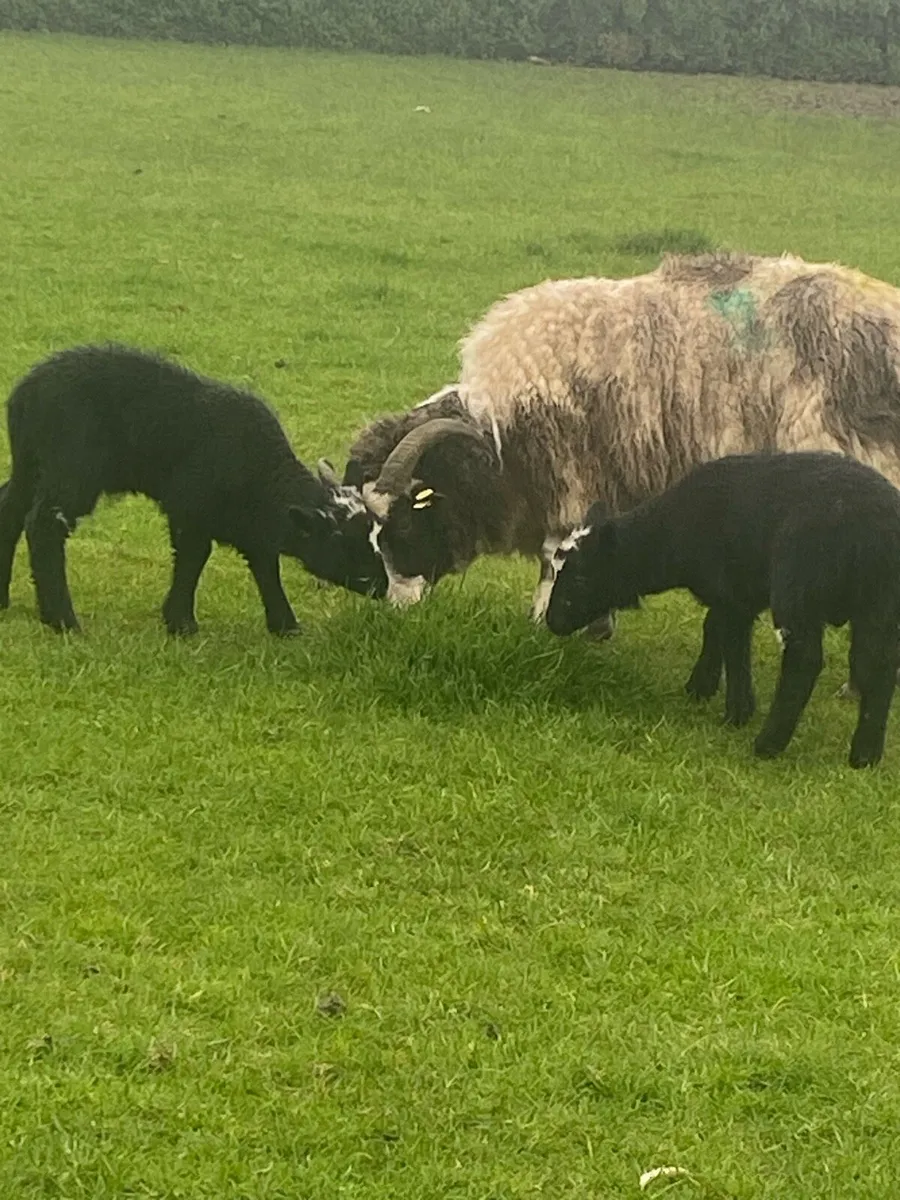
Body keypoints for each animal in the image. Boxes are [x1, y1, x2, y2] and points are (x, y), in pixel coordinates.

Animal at [0, 344, 387, 634]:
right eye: (341, 541)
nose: (381, 586)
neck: (263, 477)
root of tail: (25, 394)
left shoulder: (251, 525)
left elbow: (265, 566)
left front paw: (285, 625)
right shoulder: (190, 508)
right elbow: (194, 558)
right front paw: (181, 622)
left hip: (31, 463)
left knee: (10, 508)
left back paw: (4, 600)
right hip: (72, 469)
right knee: (44, 524)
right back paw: (62, 620)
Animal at [345, 252, 900, 648]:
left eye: (406, 524)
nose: (396, 608)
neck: (499, 437)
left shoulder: (570, 476)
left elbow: (552, 556)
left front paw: (546, 624)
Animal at [544, 451, 900, 768]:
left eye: (581, 578)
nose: (551, 621)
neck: (672, 535)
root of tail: (874, 527)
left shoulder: (733, 595)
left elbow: (732, 642)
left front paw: (737, 712)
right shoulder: (734, 594)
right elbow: (713, 627)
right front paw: (700, 687)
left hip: (799, 585)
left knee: (805, 661)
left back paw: (768, 744)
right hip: (880, 602)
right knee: (878, 666)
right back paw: (865, 756)